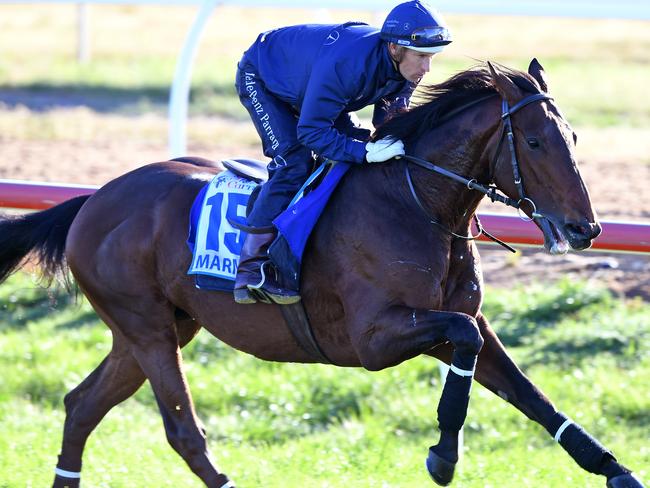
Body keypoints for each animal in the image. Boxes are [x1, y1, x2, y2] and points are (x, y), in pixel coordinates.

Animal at [0, 59, 640, 486]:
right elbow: (463, 339)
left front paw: (614, 469)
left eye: (573, 137)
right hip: (148, 328)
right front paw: (442, 455)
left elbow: (529, 393)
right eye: (533, 141)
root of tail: (93, 198)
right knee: (182, 431)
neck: (417, 202)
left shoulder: (461, 320)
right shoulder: (374, 338)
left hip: (158, 329)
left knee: (82, 404)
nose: (586, 228)